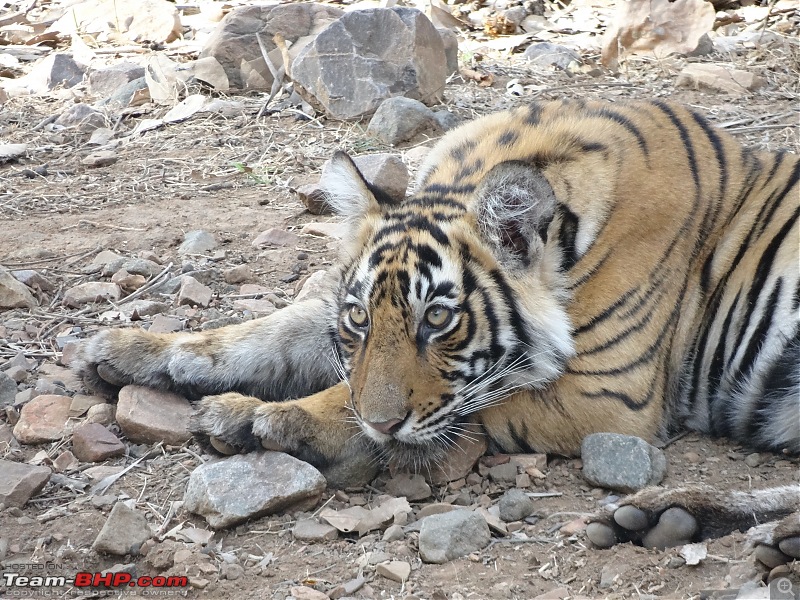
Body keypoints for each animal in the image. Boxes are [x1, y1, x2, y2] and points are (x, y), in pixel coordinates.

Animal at [72, 99, 796, 564]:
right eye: (361, 317)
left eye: (439, 320)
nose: (383, 423)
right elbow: (272, 330)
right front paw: (132, 350)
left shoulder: (611, 396)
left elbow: (457, 408)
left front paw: (266, 420)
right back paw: (668, 519)